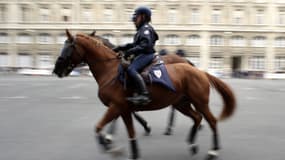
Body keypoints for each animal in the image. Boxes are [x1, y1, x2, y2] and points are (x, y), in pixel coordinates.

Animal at [52, 29, 235, 159]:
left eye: (68, 47)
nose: (56, 70)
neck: (110, 70)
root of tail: (199, 71)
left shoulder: (117, 106)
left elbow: (100, 126)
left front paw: (109, 143)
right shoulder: (123, 108)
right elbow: (128, 129)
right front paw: (121, 144)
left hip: (200, 102)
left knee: (211, 121)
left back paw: (212, 151)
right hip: (181, 103)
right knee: (197, 118)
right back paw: (191, 144)